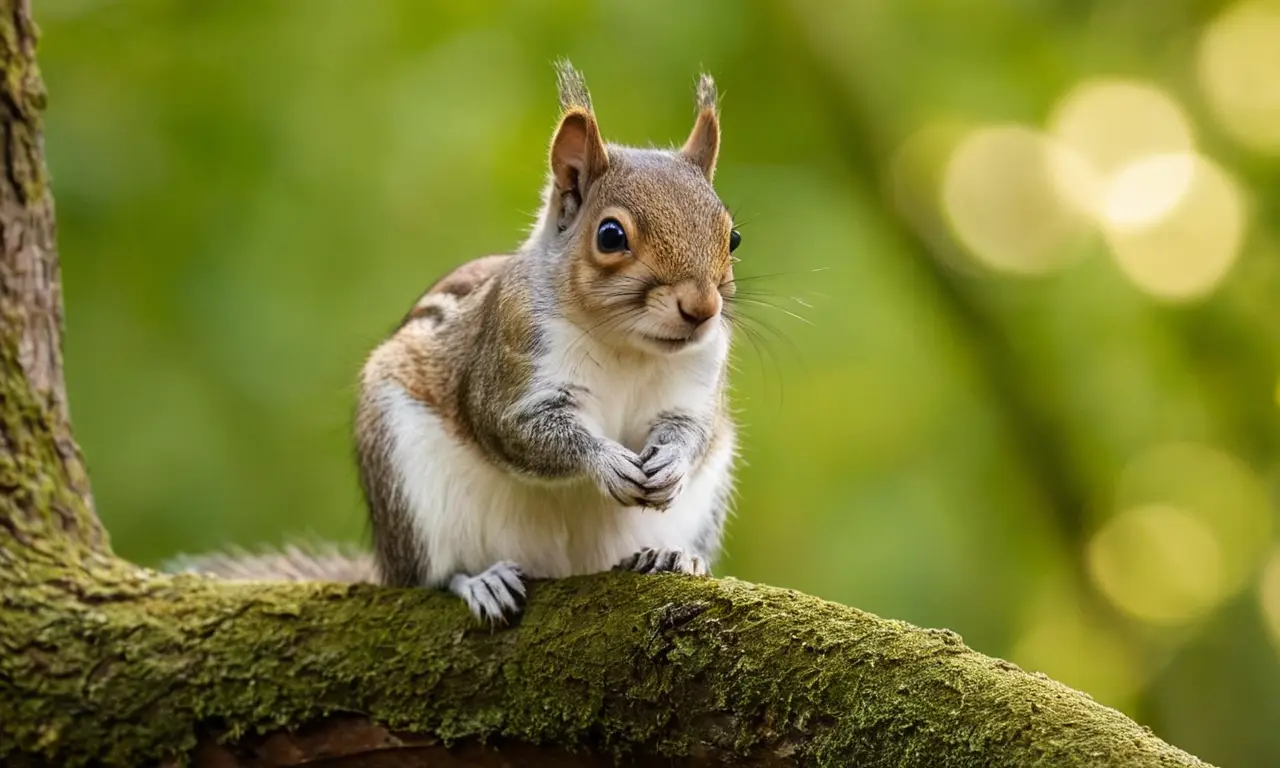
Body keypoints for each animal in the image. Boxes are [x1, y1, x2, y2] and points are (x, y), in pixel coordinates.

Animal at [167, 60, 742, 626]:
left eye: (732, 237)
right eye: (610, 236)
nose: (702, 309)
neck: (628, 345)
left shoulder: (694, 386)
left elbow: (692, 430)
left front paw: (673, 462)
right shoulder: (508, 365)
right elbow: (524, 431)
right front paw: (606, 460)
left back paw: (671, 555)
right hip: (411, 486)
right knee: (430, 576)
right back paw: (478, 581)